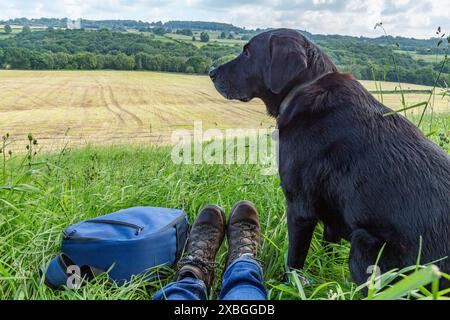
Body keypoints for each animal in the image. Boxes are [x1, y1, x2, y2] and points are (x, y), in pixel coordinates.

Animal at [209, 28, 450, 288]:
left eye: (247, 53)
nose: (211, 72)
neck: (304, 88)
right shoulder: (332, 218)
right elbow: (328, 252)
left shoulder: (300, 208)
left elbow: (294, 260)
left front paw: (288, 286)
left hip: (363, 245)